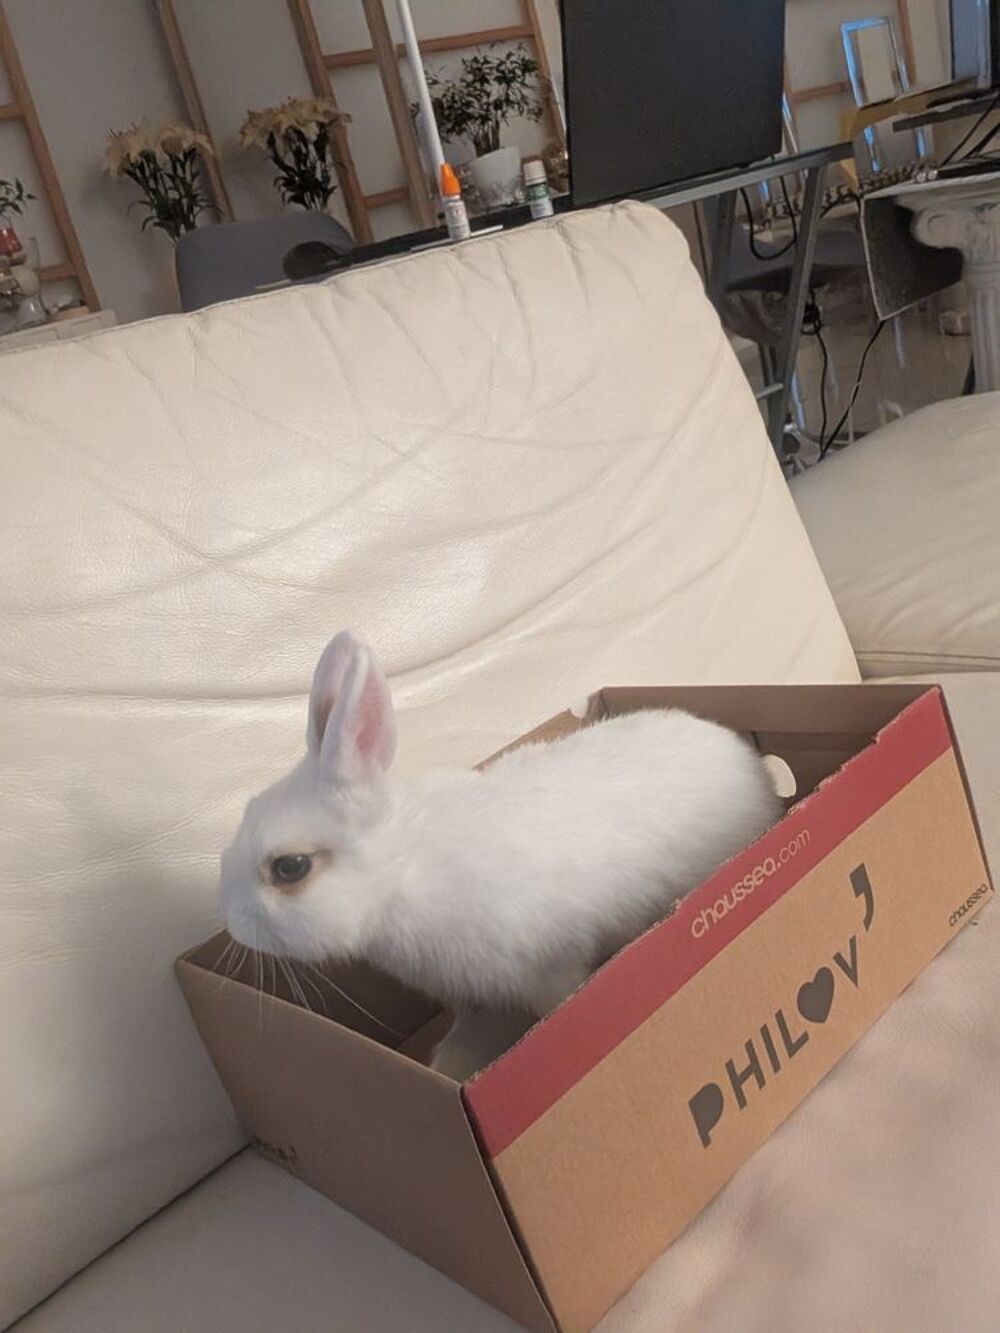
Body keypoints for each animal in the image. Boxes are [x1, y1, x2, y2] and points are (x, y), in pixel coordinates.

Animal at [220, 630, 783, 1058]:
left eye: (290, 867)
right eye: (245, 810)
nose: (230, 919)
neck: (403, 873)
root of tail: (750, 762)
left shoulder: (553, 972)